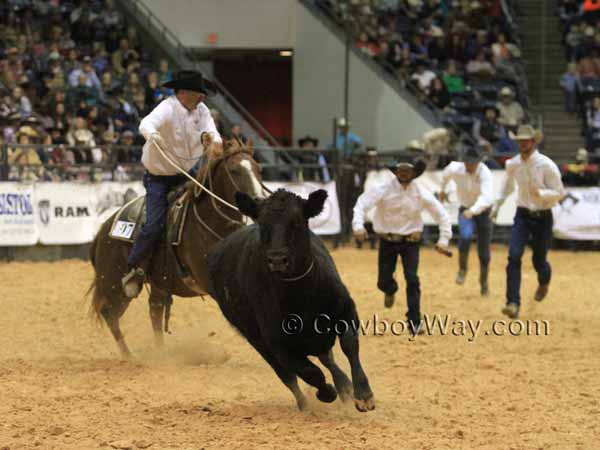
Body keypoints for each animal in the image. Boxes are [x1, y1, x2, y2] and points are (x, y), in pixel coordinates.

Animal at [87, 139, 262, 356]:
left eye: (258, 168)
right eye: (234, 170)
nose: (259, 200)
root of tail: (102, 232)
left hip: (158, 284)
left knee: (154, 310)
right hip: (114, 285)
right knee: (110, 315)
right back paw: (131, 357)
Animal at [207, 187, 376, 412]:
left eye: (296, 222)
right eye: (263, 224)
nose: (278, 260)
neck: (302, 296)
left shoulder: (346, 310)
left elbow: (349, 345)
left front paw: (363, 394)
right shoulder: (277, 343)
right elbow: (309, 372)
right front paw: (326, 393)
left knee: (326, 358)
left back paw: (344, 387)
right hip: (257, 340)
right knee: (289, 375)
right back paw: (307, 403)